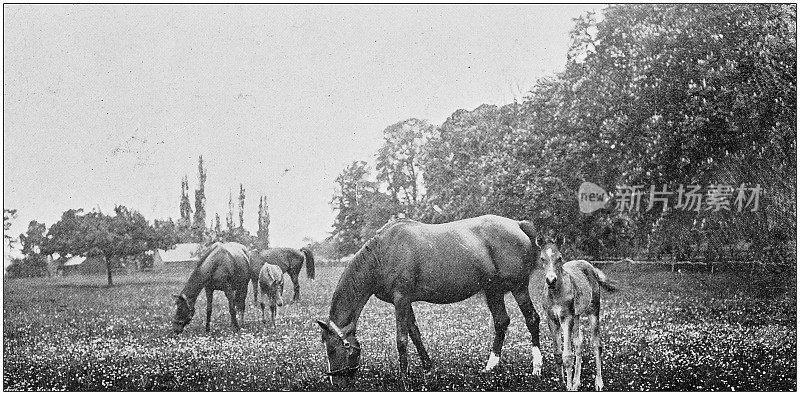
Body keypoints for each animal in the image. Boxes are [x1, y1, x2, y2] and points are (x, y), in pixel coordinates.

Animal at [312, 215, 544, 386]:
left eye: (332, 349)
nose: (337, 384)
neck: (382, 253)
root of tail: (518, 225)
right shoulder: (405, 302)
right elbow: (415, 334)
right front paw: (428, 369)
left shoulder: (401, 299)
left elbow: (402, 339)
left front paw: (404, 378)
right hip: (493, 290)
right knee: (501, 322)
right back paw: (490, 367)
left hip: (518, 287)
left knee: (532, 319)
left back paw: (536, 368)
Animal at [536, 237, 620, 392]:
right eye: (542, 258)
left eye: (559, 257)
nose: (551, 280)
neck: (556, 294)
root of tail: (592, 267)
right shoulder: (552, 319)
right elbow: (558, 354)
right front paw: (563, 383)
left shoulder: (566, 318)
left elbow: (567, 356)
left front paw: (568, 386)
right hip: (577, 315)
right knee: (579, 343)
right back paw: (576, 382)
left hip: (593, 310)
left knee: (596, 344)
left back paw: (598, 382)